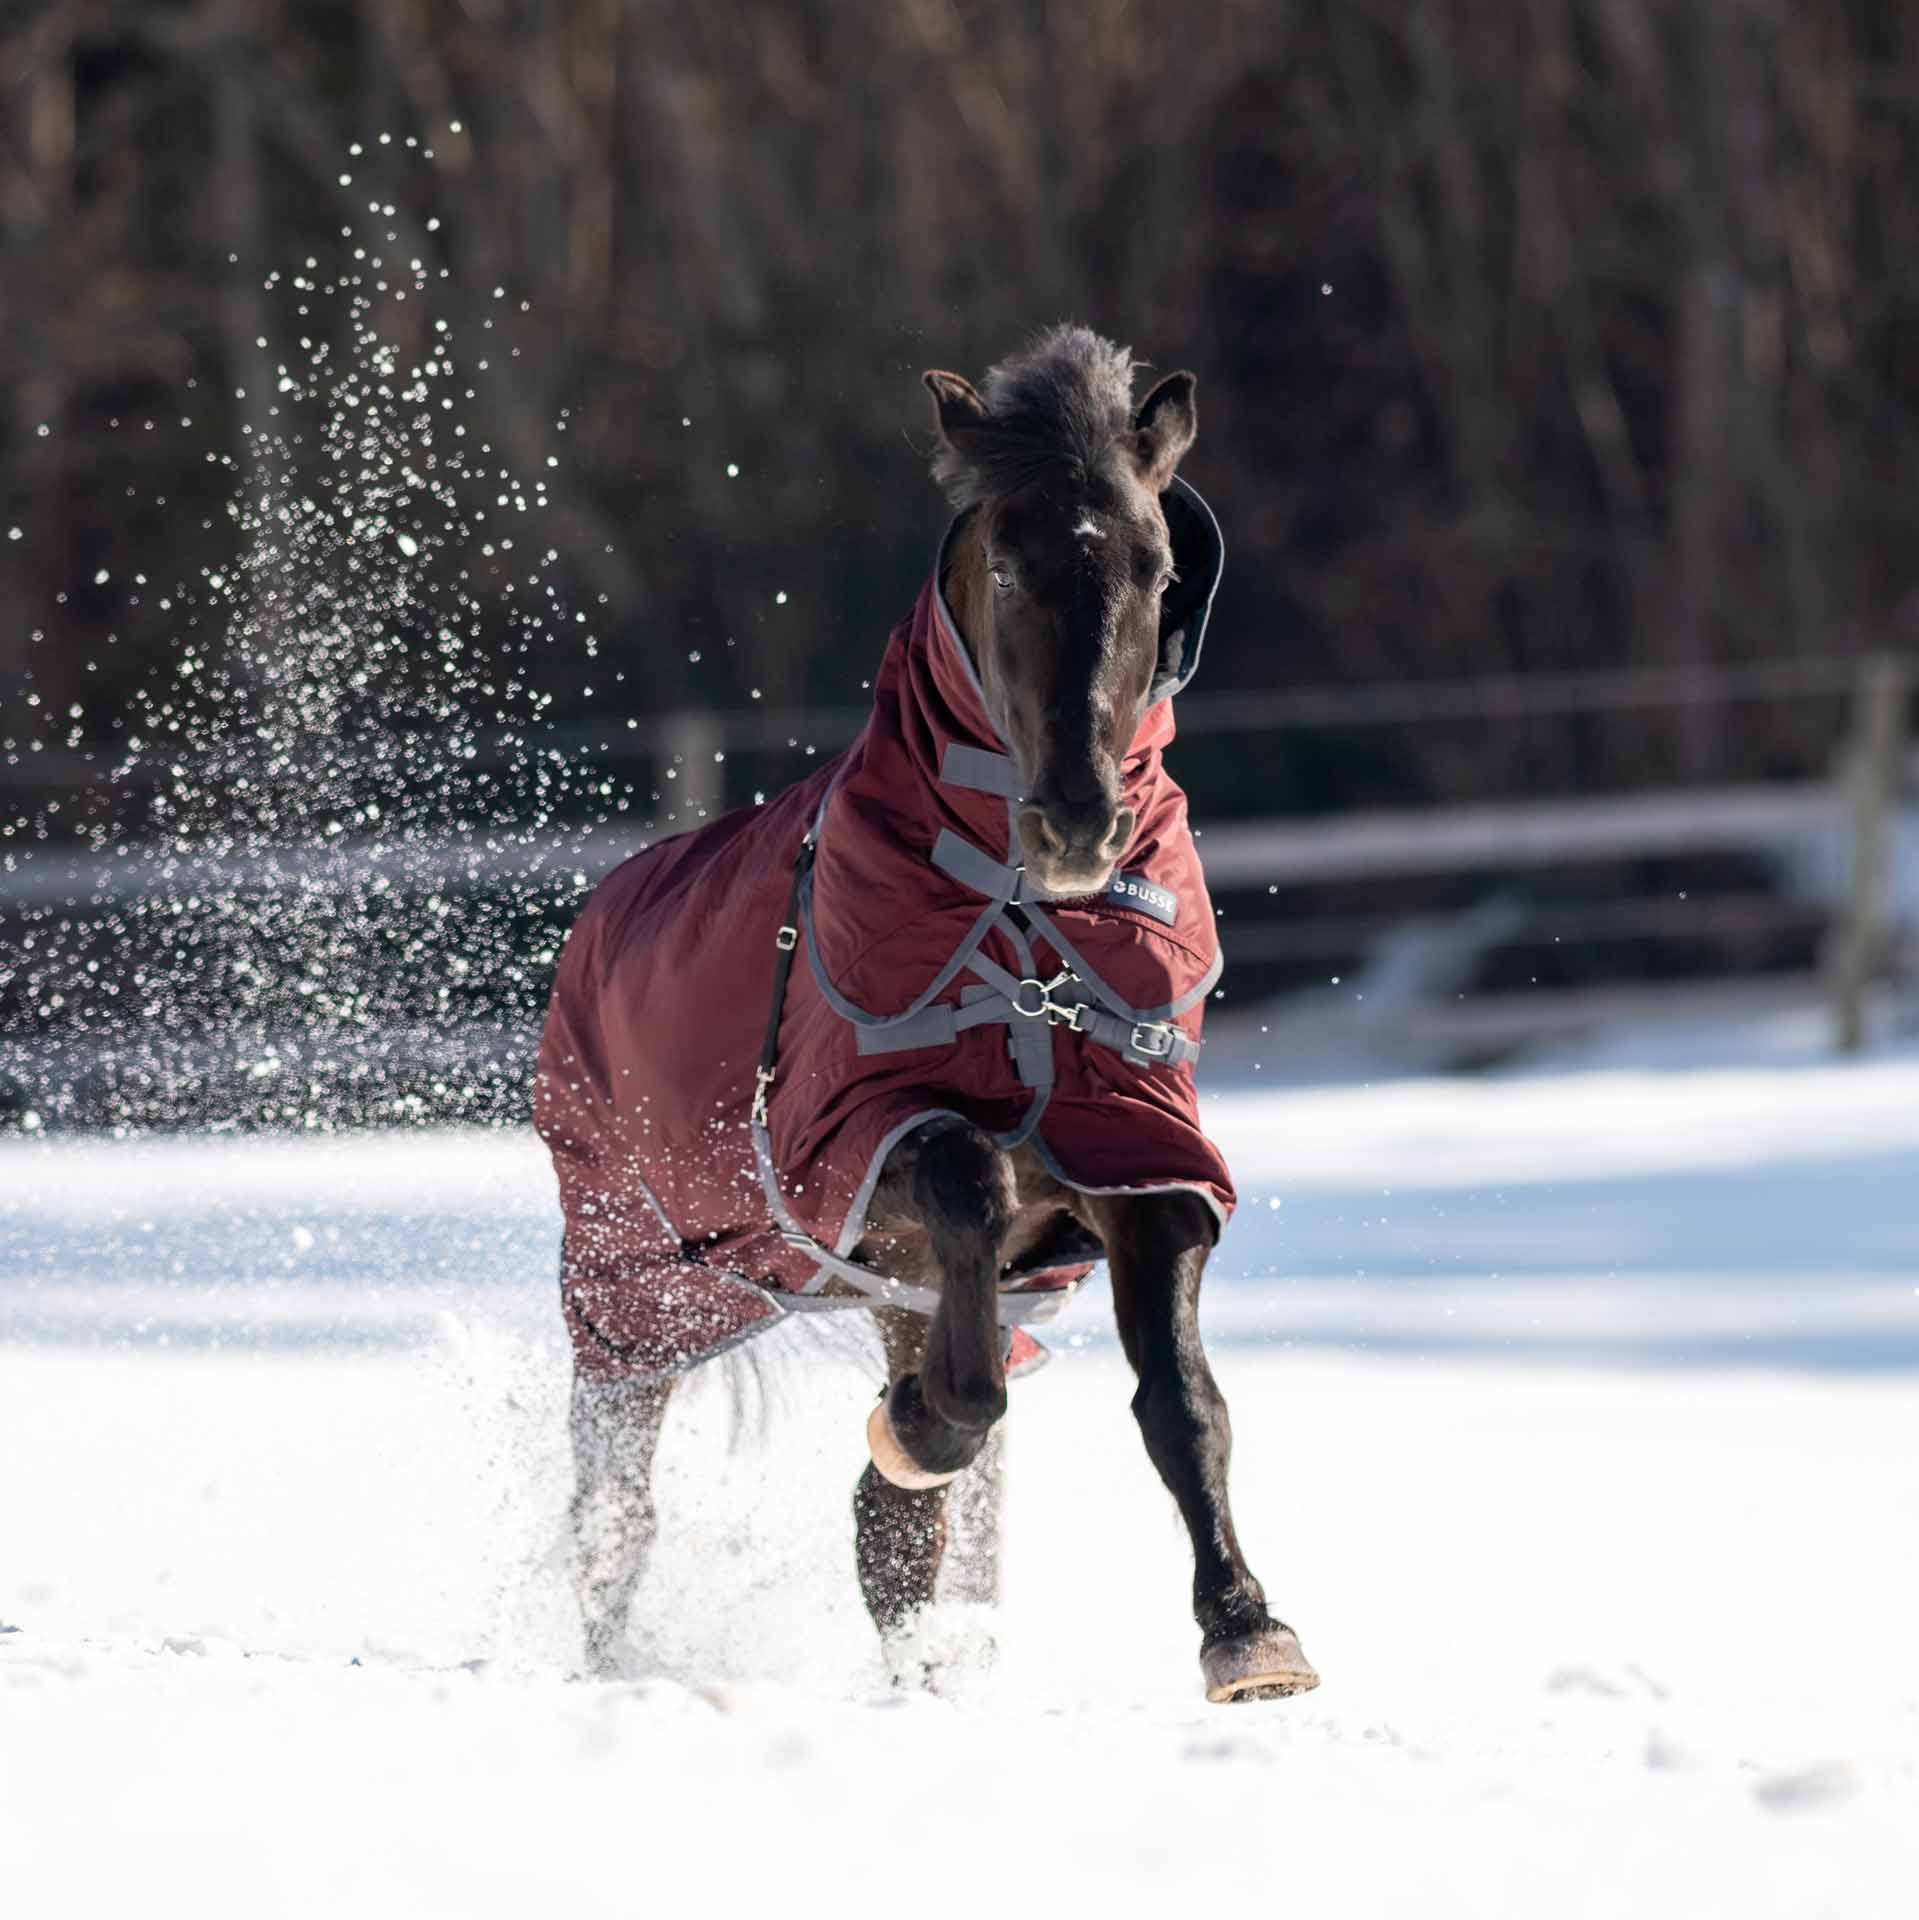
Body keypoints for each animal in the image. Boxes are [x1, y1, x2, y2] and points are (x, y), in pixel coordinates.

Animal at [541, 322, 1321, 1704]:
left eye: (1156, 566)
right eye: (1005, 564)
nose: (1077, 824)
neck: (1023, 941)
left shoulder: (1138, 1160)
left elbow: (1180, 1404)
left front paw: (1246, 1631)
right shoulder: (845, 1156)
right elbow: (967, 1178)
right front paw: (914, 1430)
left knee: (899, 1531)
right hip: (630, 1301)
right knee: (615, 1520)